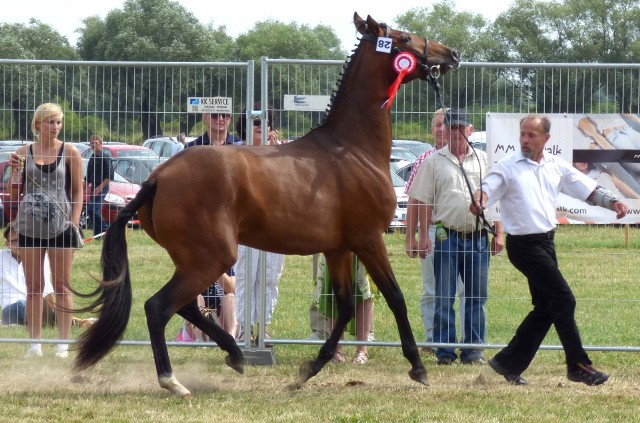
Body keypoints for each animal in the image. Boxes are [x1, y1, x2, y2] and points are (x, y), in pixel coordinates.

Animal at [72, 11, 458, 400]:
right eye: (405, 38)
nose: (451, 54)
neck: (352, 148)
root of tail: (157, 177)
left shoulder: (338, 248)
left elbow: (346, 306)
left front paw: (308, 369)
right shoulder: (369, 240)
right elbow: (395, 297)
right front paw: (418, 367)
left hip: (194, 259)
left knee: (186, 307)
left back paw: (235, 353)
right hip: (212, 258)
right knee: (158, 307)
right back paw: (175, 380)